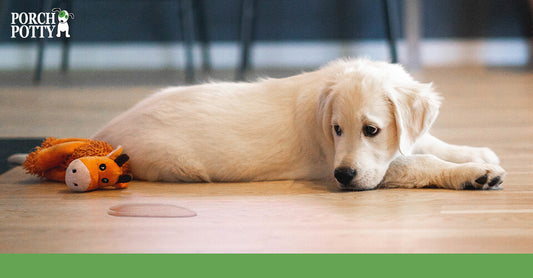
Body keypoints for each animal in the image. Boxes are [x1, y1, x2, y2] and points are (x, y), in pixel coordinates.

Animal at [93, 57, 504, 190]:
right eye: (336, 130)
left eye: (371, 130)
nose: (343, 177)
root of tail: (106, 132)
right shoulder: (338, 163)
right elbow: (421, 162)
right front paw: (475, 173)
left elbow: (427, 142)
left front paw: (478, 153)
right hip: (177, 165)